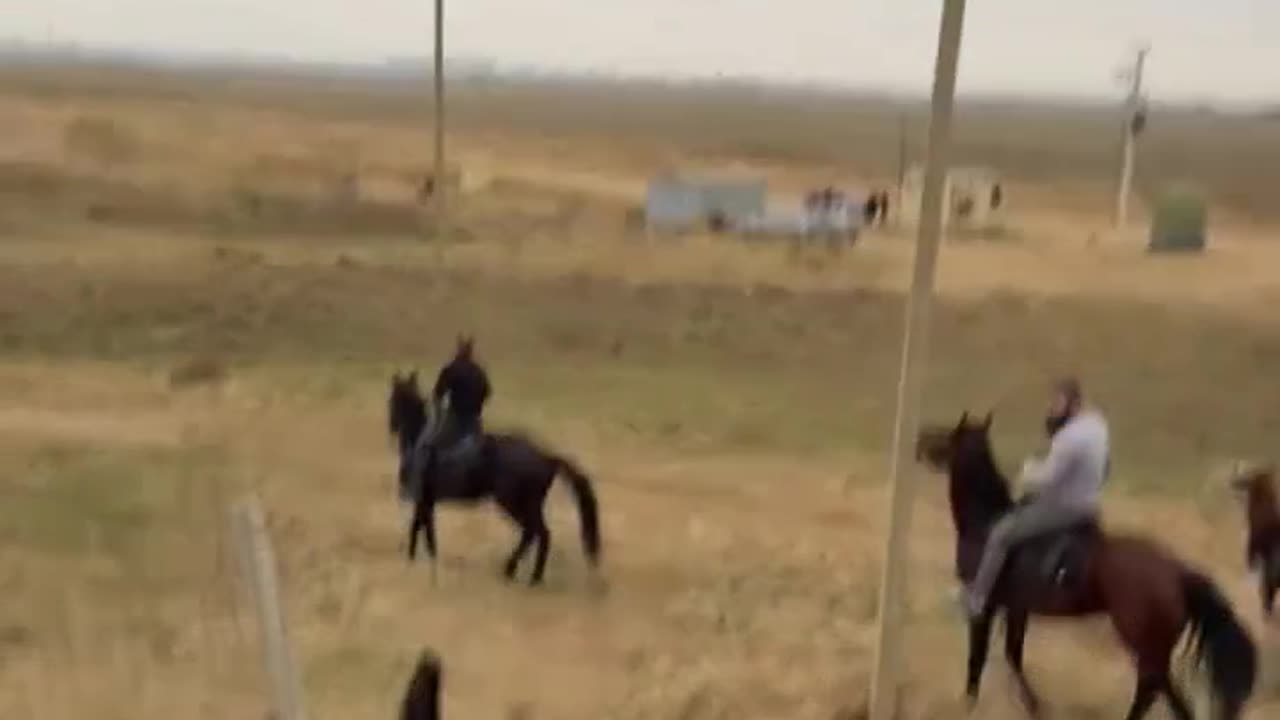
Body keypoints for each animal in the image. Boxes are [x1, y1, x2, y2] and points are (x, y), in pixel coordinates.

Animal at [386, 368, 601, 584]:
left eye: (394, 398)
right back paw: (528, 575)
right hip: (530, 504)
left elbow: (421, 529)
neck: (419, 441)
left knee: (535, 532)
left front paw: (417, 561)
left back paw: (518, 572)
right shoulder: (426, 501)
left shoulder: (423, 499)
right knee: (538, 533)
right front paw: (421, 561)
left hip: (514, 502)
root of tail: (547, 457)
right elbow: (423, 529)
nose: (392, 426)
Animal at [916, 415, 1254, 717]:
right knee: (1166, 689)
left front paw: (970, 704)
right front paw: (1034, 706)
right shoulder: (1017, 608)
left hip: (1141, 640)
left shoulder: (986, 606)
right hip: (1154, 647)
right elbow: (1013, 654)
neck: (985, 522)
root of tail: (1177, 572)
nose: (919, 442)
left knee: (1152, 687)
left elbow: (978, 658)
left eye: (948, 435)